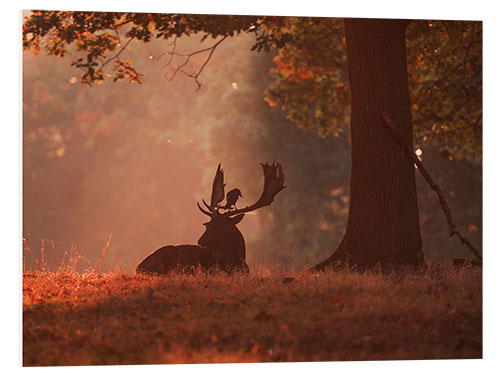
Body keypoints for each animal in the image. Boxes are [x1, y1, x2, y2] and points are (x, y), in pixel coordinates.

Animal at [136, 163, 286, 274]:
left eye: (219, 227)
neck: (233, 262)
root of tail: (137, 268)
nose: (200, 241)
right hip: (166, 253)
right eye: (207, 225)